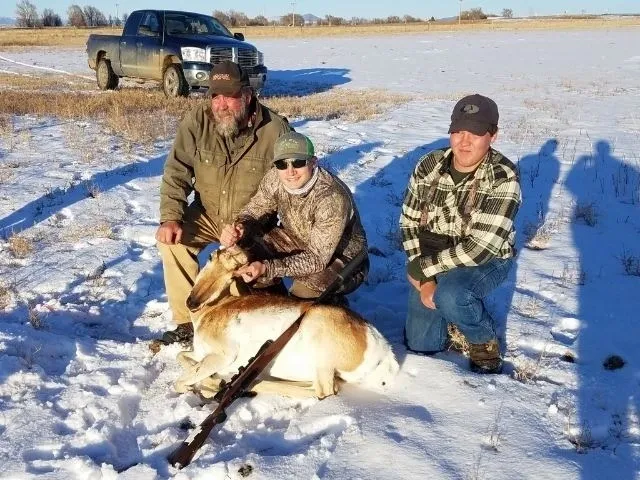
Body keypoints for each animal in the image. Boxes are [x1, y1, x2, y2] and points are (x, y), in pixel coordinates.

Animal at [172, 246, 398, 400]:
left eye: (232, 275)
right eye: (210, 258)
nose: (192, 302)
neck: (215, 308)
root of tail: (381, 346)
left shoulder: (222, 356)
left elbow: (180, 382)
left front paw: (209, 383)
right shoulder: (198, 354)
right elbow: (181, 356)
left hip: (320, 351)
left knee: (323, 391)